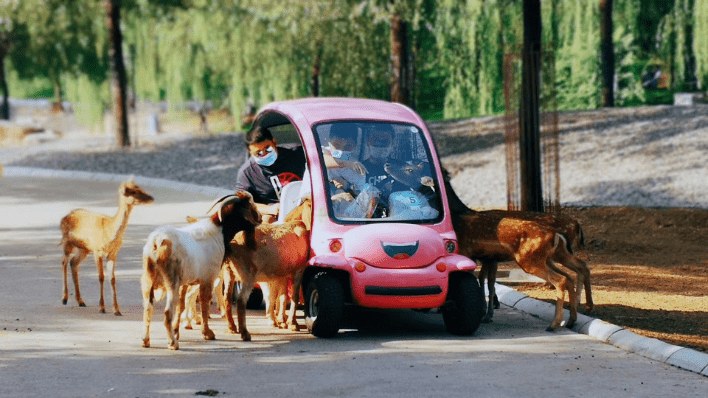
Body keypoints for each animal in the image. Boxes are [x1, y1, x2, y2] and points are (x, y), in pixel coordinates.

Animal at [60, 178, 155, 314]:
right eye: (133, 192)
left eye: (140, 188)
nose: (151, 198)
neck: (109, 232)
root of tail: (63, 219)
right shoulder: (97, 250)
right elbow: (101, 277)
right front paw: (102, 308)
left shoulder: (113, 253)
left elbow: (112, 278)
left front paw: (117, 310)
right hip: (68, 242)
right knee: (64, 262)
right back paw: (64, 298)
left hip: (84, 248)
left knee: (73, 262)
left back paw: (81, 301)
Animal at [140, 191, 260, 350]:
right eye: (250, 205)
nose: (260, 218)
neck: (219, 231)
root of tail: (157, 242)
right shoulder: (207, 278)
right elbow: (204, 303)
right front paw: (208, 333)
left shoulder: (185, 282)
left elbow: (181, 304)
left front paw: (178, 331)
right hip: (171, 281)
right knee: (166, 313)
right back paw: (172, 343)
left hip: (148, 281)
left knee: (148, 308)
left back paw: (146, 340)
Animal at [224, 197, 312, 340]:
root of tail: (233, 242)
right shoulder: (298, 271)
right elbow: (294, 296)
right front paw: (292, 323)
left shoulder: (282, 275)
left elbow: (282, 297)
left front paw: (282, 321)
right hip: (248, 276)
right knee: (241, 301)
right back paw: (245, 333)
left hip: (228, 272)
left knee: (227, 298)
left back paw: (231, 327)